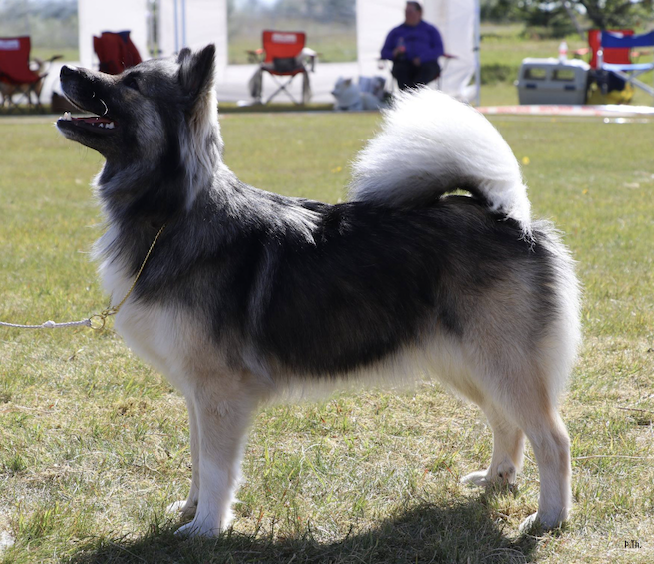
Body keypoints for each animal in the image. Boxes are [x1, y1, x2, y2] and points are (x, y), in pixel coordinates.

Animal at [55, 45, 580, 536]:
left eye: (132, 83)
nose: (63, 70)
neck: (171, 213)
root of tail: (509, 218)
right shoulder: (195, 392)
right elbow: (197, 460)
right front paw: (189, 510)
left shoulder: (218, 391)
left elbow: (216, 468)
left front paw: (205, 528)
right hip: (468, 361)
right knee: (506, 421)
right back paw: (496, 479)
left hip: (501, 361)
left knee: (553, 439)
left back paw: (547, 518)